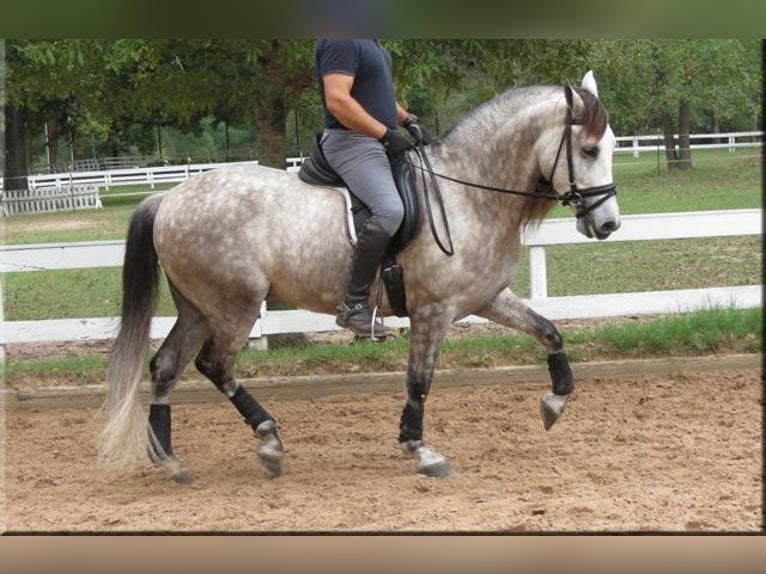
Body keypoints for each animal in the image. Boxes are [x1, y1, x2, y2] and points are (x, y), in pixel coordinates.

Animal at [97, 70, 624, 484]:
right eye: (588, 149)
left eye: (613, 147)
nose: (608, 224)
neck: (469, 192)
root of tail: (167, 198)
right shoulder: (433, 309)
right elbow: (419, 379)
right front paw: (420, 449)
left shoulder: (486, 297)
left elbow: (549, 331)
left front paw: (554, 403)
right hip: (235, 306)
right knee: (215, 366)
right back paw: (268, 441)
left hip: (199, 308)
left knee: (166, 367)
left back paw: (169, 461)